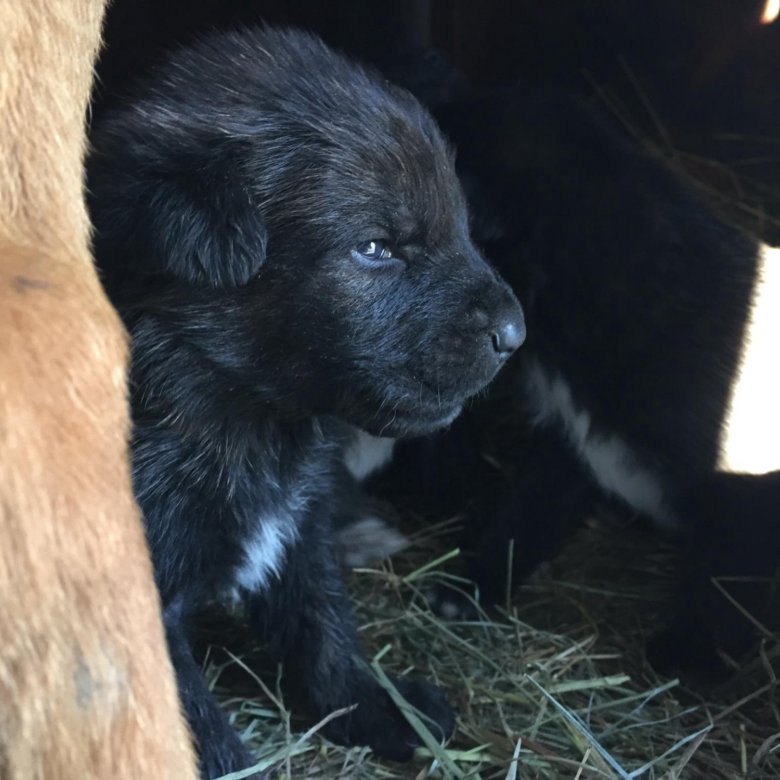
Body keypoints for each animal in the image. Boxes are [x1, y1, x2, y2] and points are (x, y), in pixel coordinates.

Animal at [87, 27, 524, 776]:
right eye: (375, 247)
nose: (515, 334)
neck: (245, 416)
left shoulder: (297, 525)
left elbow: (324, 629)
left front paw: (384, 709)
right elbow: (193, 723)